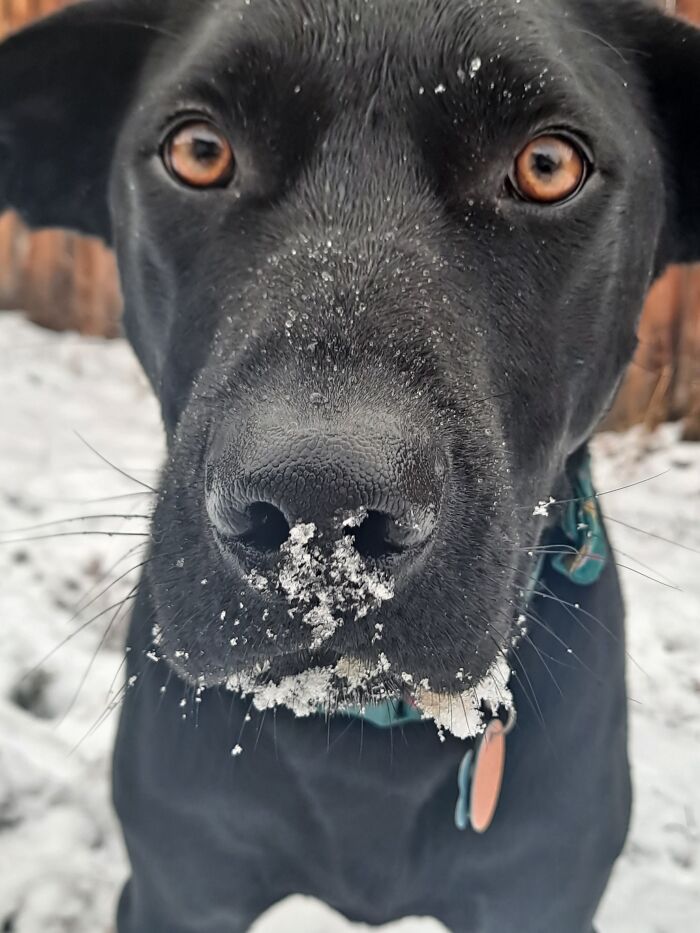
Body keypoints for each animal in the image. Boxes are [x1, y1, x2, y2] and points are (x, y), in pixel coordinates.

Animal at [2, 0, 696, 928]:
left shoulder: (540, 892)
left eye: (548, 166)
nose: (317, 504)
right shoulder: (175, 885)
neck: (358, 745)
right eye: (199, 151)